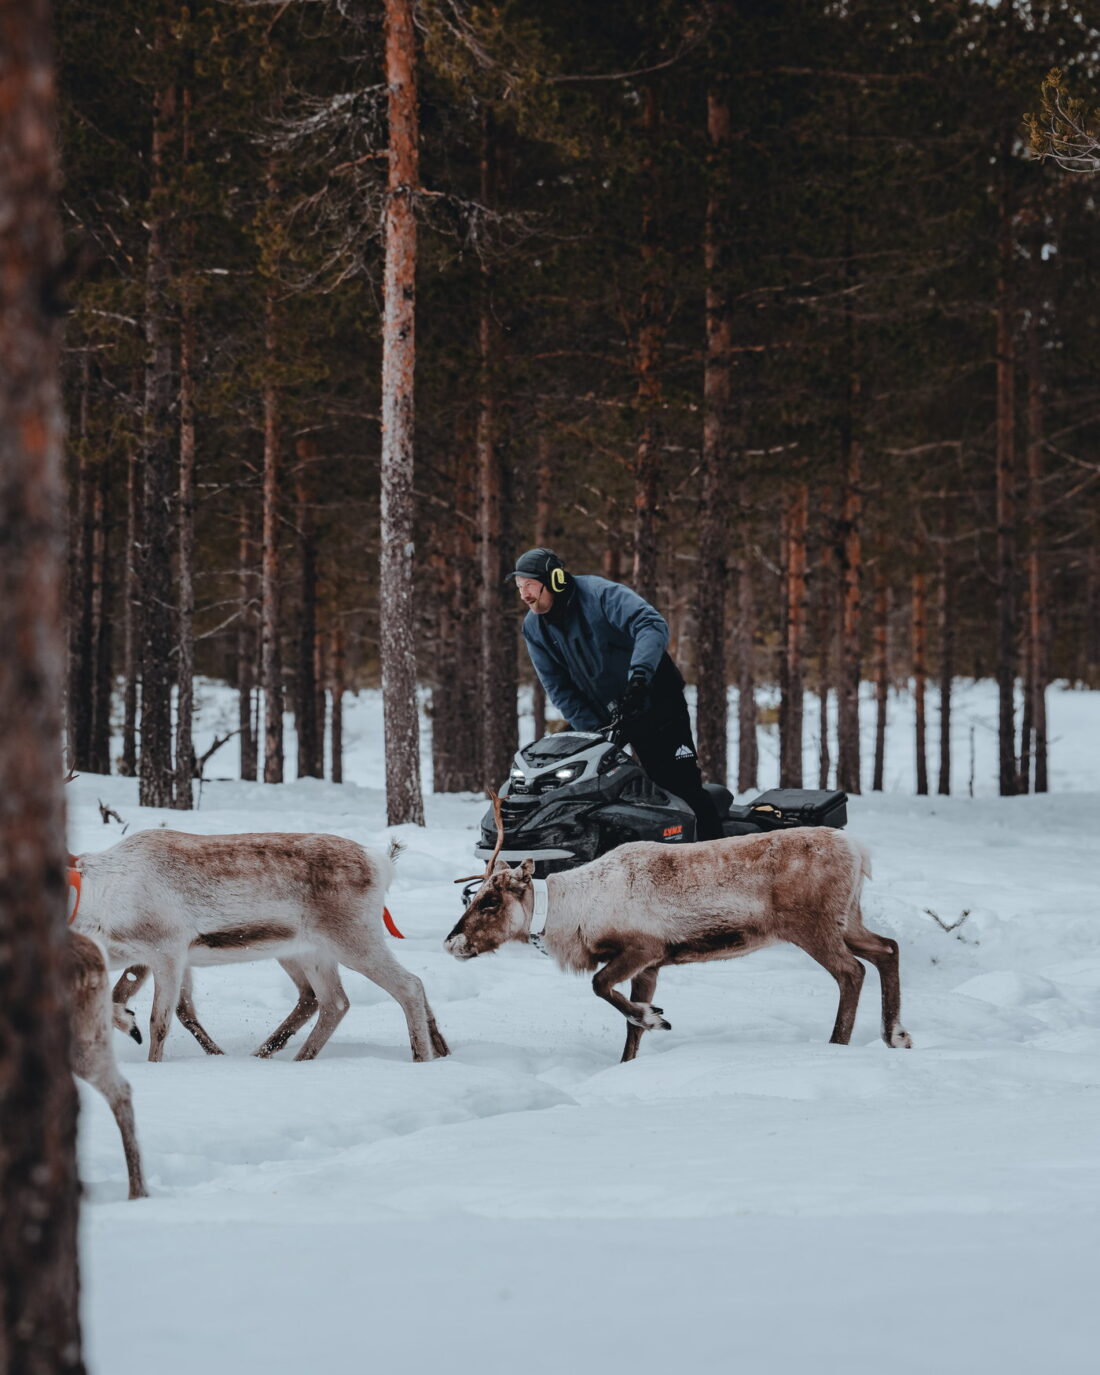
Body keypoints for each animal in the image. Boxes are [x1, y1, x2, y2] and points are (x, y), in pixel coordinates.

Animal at [68, 829, 449, 1064]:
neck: (100, 900)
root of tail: (381, 863)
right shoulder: (155, 958)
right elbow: (165, 1008)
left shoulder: (167, 950)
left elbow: (159, 1022)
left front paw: (149, 1056)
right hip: (309, 952)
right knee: (333, 1002)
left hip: (354, 938)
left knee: (408, 985)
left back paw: (421, 1055)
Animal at [445, 824, 911, 1063]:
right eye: (477, 894)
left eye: (489, 900)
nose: (451, 943)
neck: (568, 910)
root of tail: (860, 851)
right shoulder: (651, 966)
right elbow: (629, 1024)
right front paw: (641, 1035)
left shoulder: (643, 949)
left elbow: (599, 987)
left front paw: (657, 1020)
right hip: (848, 918)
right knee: (888, 948)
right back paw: (897, 1035)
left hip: (812, 926)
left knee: (852, 971)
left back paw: (838, 1046)